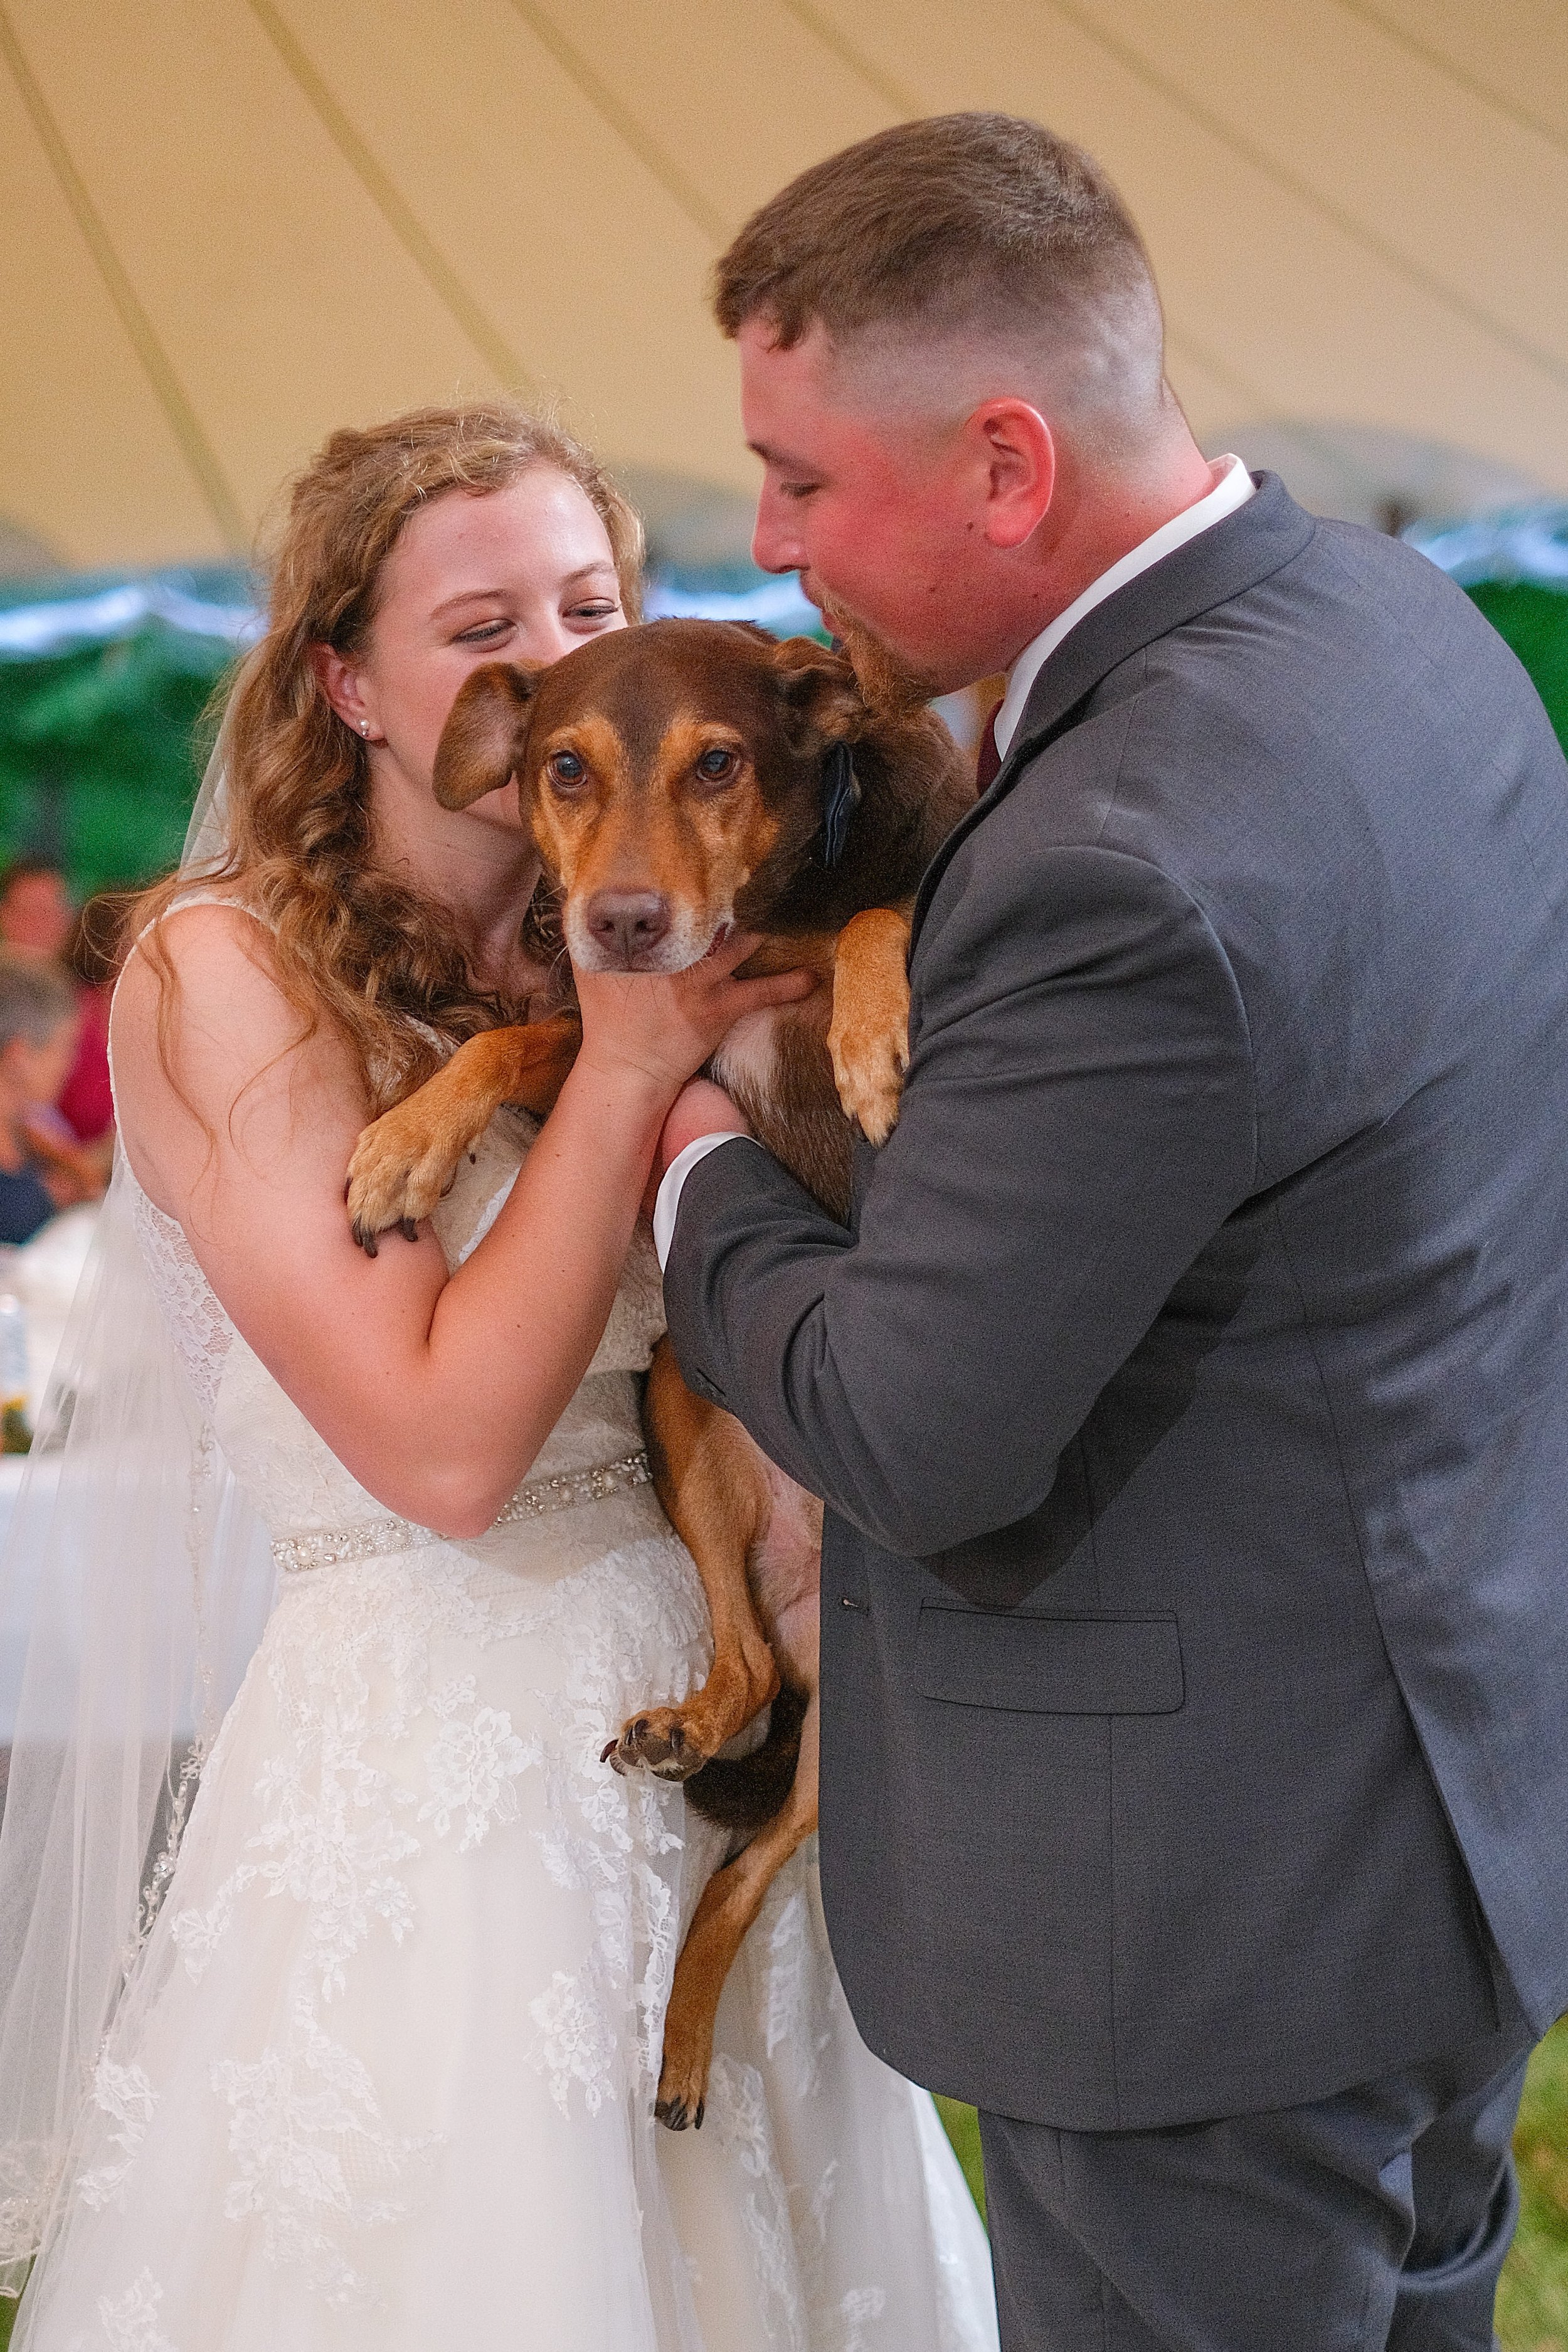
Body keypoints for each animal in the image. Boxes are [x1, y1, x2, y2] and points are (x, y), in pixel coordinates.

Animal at [350, 625, 973, 2136]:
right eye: (565, 768)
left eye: (720, 762)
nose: (622, 923)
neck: (770, 905)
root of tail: (815, 1577)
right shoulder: (620, 1055)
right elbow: (507, 1039)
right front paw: (408, 1140)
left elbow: (882, 920)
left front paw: (870, 1030)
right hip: (686, 1413)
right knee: (737, 1686)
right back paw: (683, 1746)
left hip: (837, 1755)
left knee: (749, 1871)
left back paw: (686, 2042)